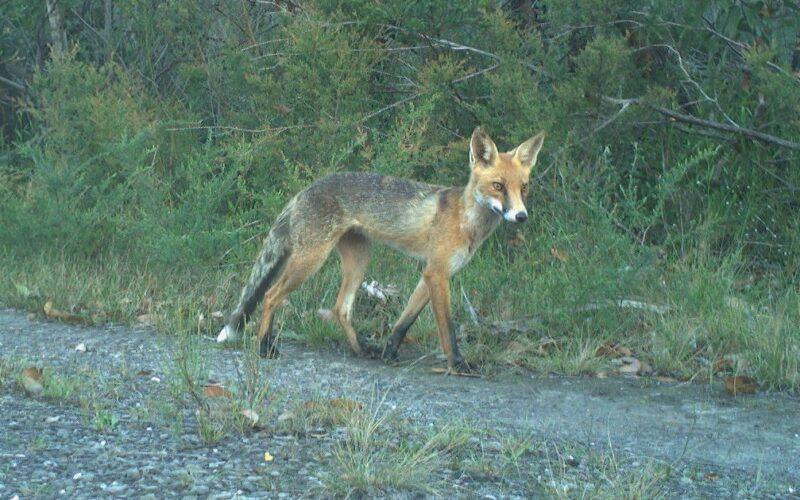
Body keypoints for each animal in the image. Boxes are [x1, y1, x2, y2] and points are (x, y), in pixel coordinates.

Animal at [216, 126, 545, 372]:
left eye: (524, 187)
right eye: (498, 186)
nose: (521, 216)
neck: (466, 221)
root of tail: (305, 190)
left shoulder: (430, 276)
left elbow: (404, 322)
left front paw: (389, 352)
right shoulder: (437, 273)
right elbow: (447, 330)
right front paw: (458, 364)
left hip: (359, 259)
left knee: (340, 308)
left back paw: (360, 349)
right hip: (310, 260)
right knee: (271, 296)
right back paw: (264, 347)